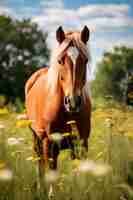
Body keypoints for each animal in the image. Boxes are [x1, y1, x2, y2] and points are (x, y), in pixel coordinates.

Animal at [25, 25, 91, 173]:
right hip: (37, 139)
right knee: (40, 166)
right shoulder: (49, 145)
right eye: (60, 61)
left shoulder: (81, 143)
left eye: (85, 60)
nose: (73, 102)